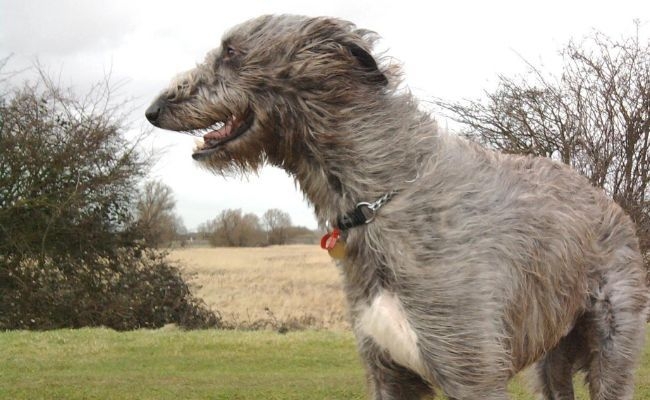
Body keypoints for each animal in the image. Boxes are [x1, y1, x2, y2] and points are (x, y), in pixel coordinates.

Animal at [147, 14, 648, 398]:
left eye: (231, 51)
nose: (153, 110)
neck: (376, 200)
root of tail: (608, 200)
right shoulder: (388, 372)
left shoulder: (473, 372)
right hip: (552, 354)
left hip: (612, 343)